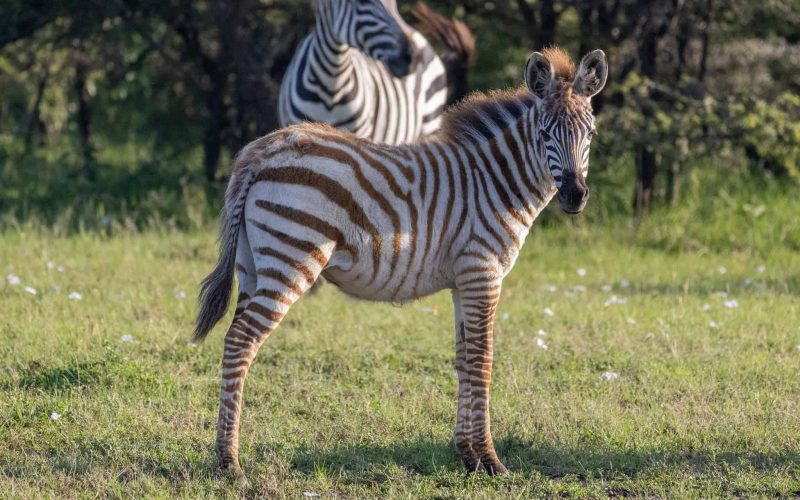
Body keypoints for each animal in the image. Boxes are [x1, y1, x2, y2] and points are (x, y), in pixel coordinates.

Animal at [196, 47, 608, 479]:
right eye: (545, 134)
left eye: (591, 135)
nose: (575, 196)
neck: (495, 182)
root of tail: (262, 151)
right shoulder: (483, 271)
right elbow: (483, 359)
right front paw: (491, 461)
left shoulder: (463, 281)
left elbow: (464, 359)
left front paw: (468, 455)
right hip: (290, 259)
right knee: (242, 341)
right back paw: (230, 462)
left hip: (252, 267)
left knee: (233, 340)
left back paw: (225, 456)